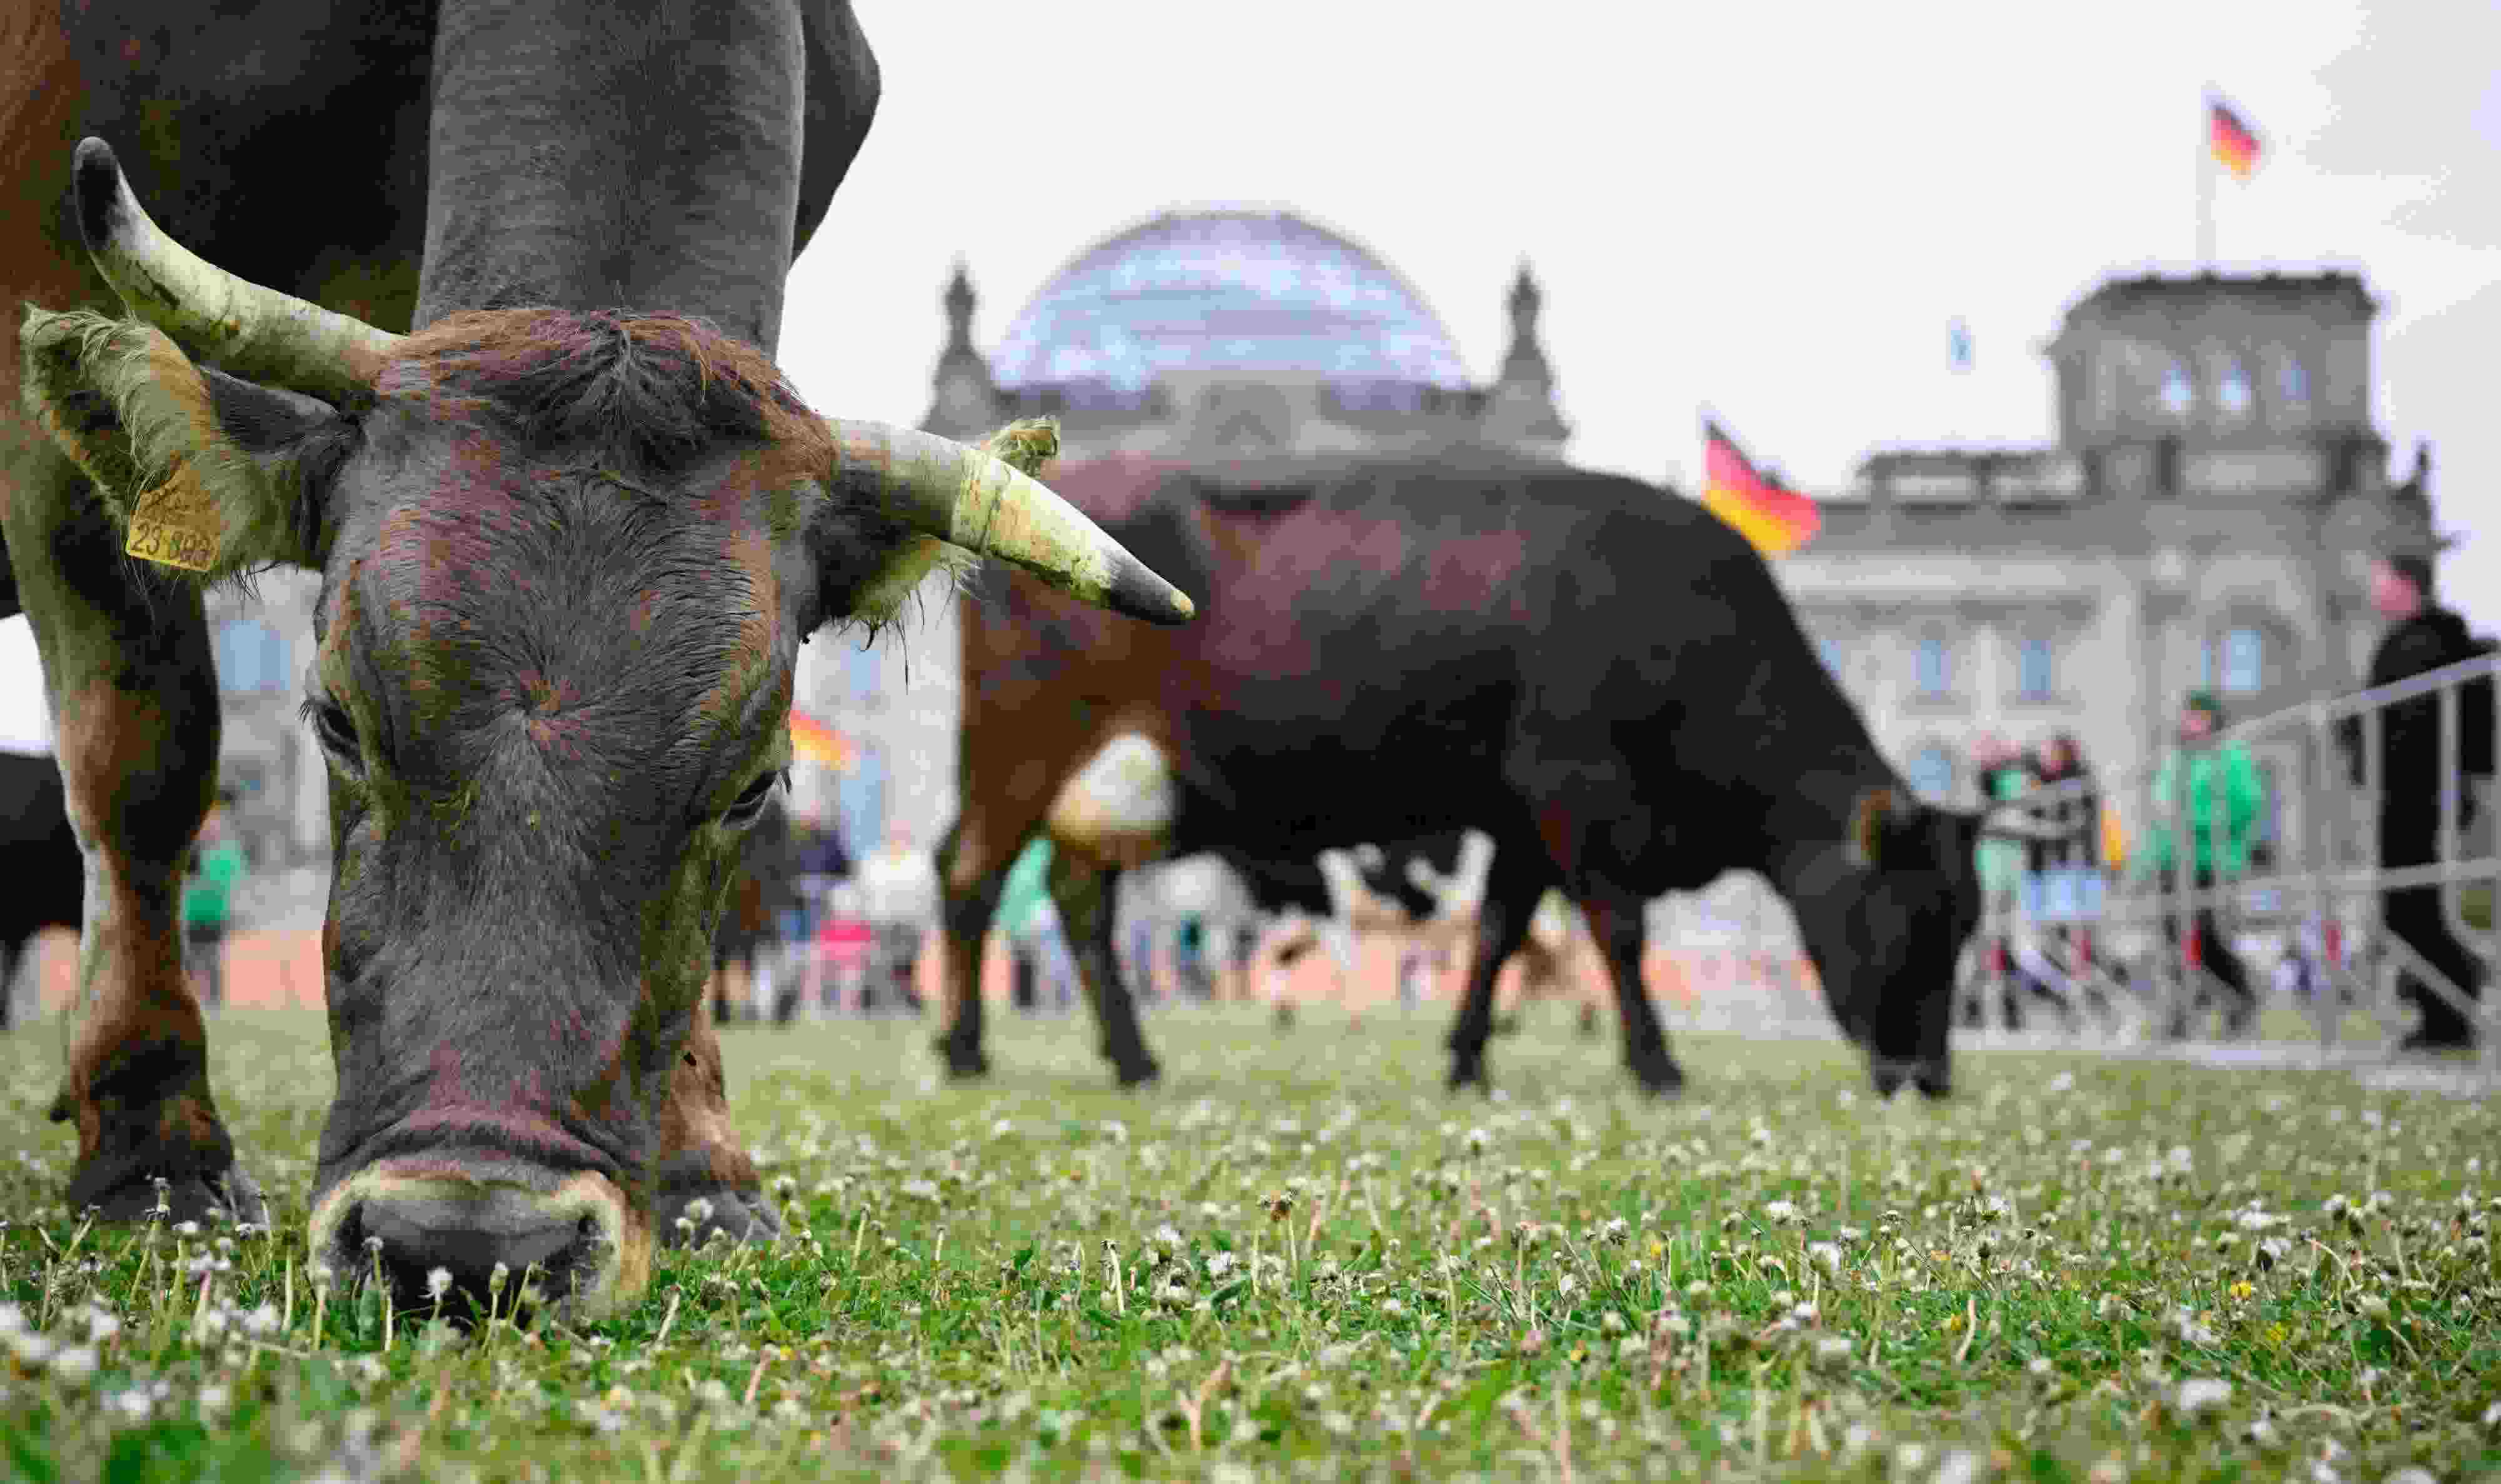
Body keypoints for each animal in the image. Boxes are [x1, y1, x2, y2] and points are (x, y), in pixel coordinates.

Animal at [1, 0, 1192, 1321]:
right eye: (339, 721)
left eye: (756, 784)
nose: (466, 1242)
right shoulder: (43, 330)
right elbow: (144, 763)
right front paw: (153, 1144)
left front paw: (704, 1164)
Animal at [931, 447, 2053, 1098]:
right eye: (1914, 913)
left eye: (1971, 921)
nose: (1929, 1074)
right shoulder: (1577, 786)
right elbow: (1619, 930)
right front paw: (1657, 1064)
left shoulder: (1521, 815)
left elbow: (1499, 933)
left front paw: (1467, 1058)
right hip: (1020, 742)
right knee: (971, 877)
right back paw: (965, 1049)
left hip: (1121, 787)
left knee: (1078, 899)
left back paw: (1132, 1058)